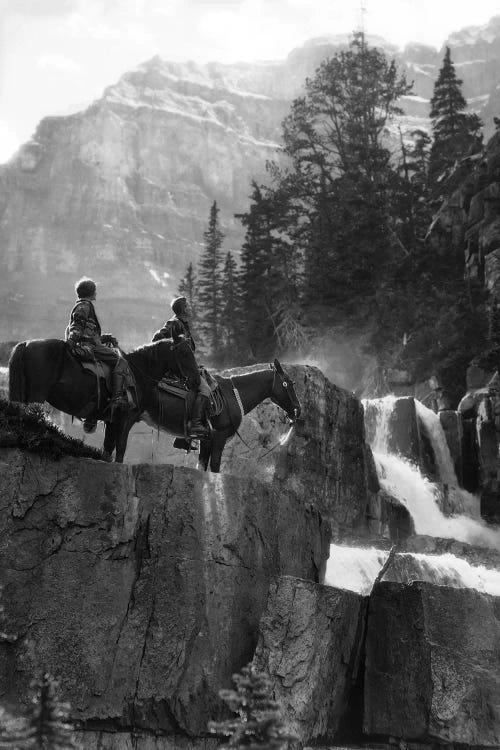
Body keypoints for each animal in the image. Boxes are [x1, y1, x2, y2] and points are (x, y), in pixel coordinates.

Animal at [8, 336, 197, 464]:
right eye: (184, 353)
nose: (196, 380)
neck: (138, 371)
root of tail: (25, 344)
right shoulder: (125, 419)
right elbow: (120, 448)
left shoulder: (112, 421)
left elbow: (108, 448)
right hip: (35, 397)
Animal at [145, 360, 300, 476]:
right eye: (288, 383)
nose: (298, 410)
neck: (230, 396)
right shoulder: (220, 435)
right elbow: (215, 465)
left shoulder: (206, 440)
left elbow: (202, 465)